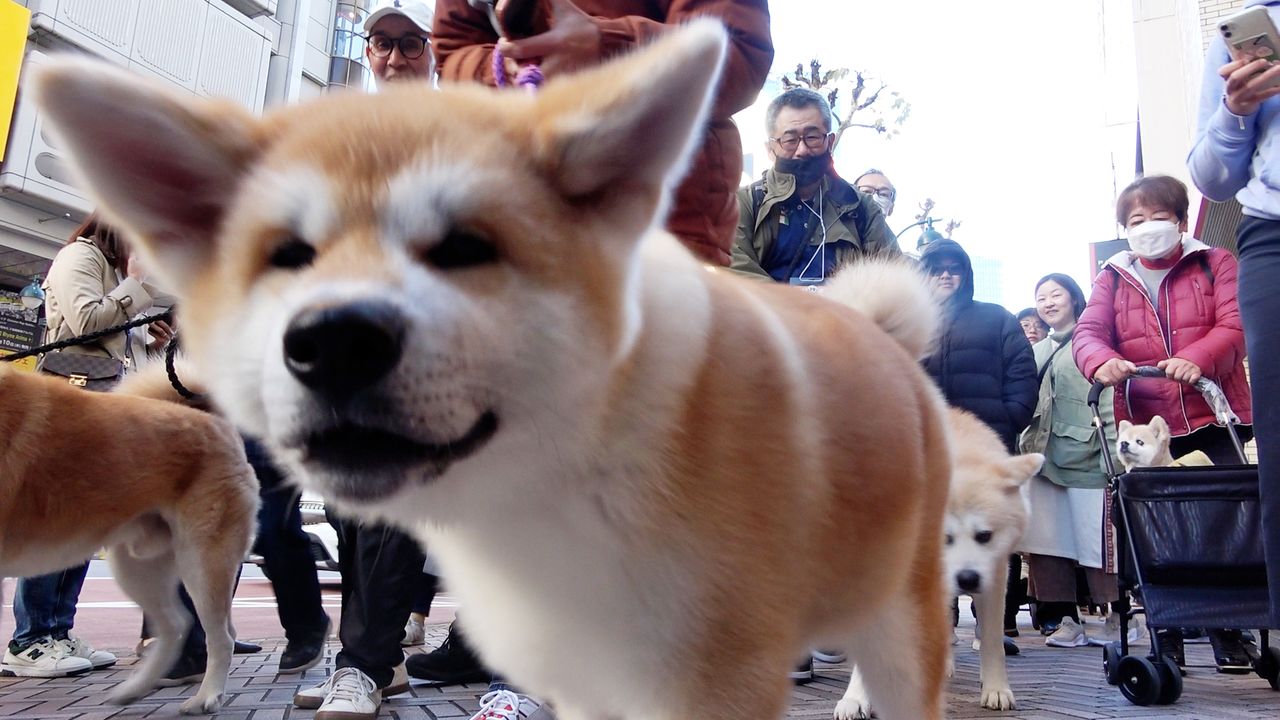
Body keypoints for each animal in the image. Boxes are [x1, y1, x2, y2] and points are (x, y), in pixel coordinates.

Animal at [0, 363, 257, 712]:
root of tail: (211, 418)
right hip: (136, 567)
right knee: (176, 625)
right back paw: (135, 688)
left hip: (203, 563)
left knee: (220, 638)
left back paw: (207, 696)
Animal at [32, 22, 952, 717]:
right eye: (288, 256)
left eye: (466, 248)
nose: (333, 340)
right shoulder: (593, 675)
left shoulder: (717, 678)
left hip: (902, 615)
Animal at [839, 407, 1039, 712]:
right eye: (941, 536)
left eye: (984, 535)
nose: (967, 578)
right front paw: (857, 697)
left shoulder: (993, 578)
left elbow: (992, 640)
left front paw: (996, 688)